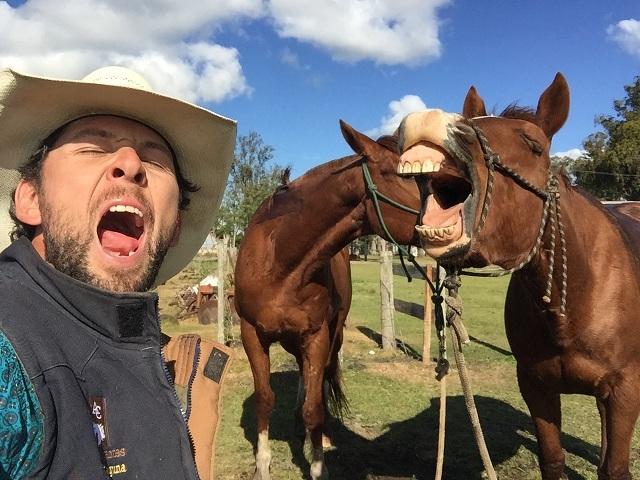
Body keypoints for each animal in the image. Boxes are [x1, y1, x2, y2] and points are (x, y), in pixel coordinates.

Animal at [232, 122, 422, 478]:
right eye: (401, 174)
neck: (281, 264)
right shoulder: (251, 333)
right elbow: (265, 398)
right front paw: (262, 464)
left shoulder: (317, 334)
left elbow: (315, 407)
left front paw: (319, 463)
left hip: (331, 334)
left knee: (316, 384)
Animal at [398, 73, 640, 478]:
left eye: (533, 144)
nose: (427, 119)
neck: (572, 301)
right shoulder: (536, 385)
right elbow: (553, 460)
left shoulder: (624, 389)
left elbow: (613, 468)